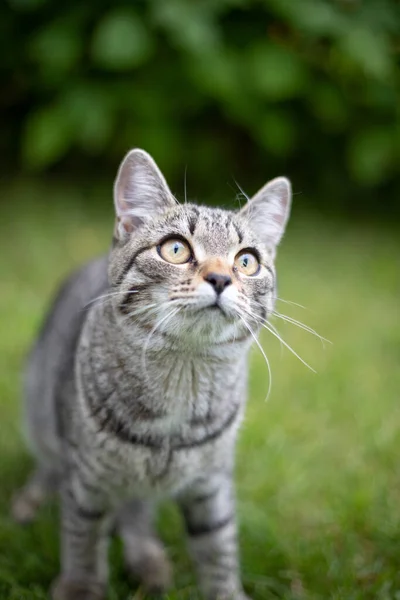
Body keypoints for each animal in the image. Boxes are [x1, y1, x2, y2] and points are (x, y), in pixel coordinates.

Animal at [11, 150, 290, 600]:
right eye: (175, 249)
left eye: (246, 261)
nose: (221, 278)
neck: (182, 375)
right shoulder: (86, 479)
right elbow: (82, 536)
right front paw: (81, 586)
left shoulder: (212, 484)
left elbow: (219, 547)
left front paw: (225, 590)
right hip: (41, 410)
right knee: (52, 466)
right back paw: (30, 500)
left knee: (135, 510)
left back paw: (147, 558)